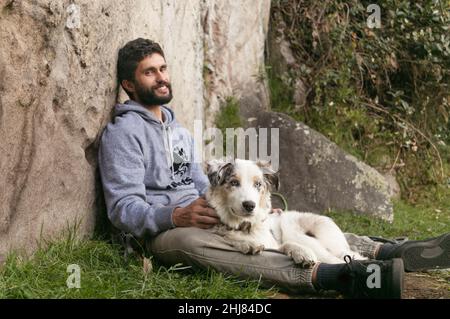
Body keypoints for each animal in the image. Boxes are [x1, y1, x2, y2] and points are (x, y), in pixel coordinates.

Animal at [204, 159, 366, 266]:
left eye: (258, 184)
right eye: (234, 183)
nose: (250, 205)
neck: (245, 226)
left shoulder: (275, 244)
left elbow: (287, 245)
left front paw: (302, 253)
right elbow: (228, 237)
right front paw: (247, 243)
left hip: (297, 234)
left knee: (337, 259)